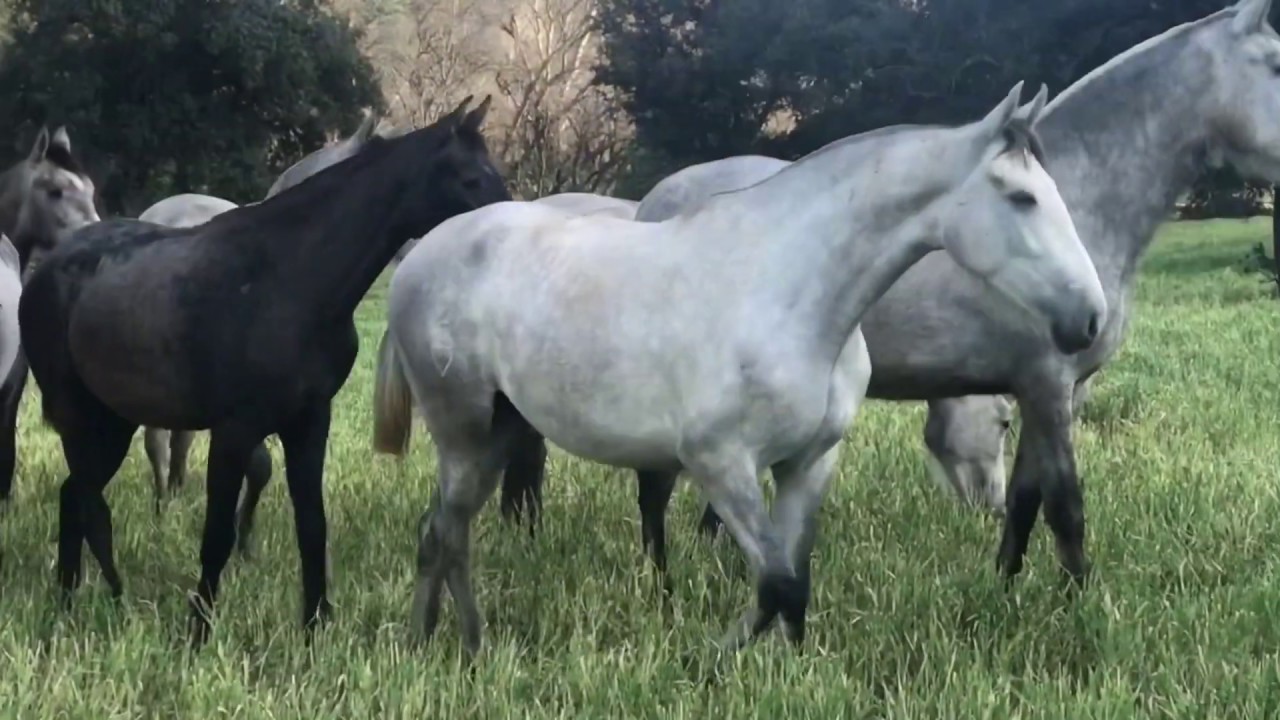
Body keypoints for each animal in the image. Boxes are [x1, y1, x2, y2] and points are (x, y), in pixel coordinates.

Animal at [18, 96, 510, 642]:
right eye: (469, 178)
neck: (288, 280)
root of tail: (45, 272)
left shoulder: (309, 422)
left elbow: (312, 524)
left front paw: (315, 625)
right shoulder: (235, 430)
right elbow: (217, 532)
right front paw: (199, 631)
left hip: (113, 420)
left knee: (76, 497)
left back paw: (80, 602)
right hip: (84, 420)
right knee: (83, 499)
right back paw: (91, 601)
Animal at [371, 83, 1108, 657]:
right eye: (1020, 198)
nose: (1089, 319)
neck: (788, 286)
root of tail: (419, 256)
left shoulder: (809, 462)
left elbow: (795, 582)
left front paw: (793, 670)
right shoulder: (720, 463)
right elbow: (777, 582)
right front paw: (708, 657)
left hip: (497, 428)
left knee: (442, 532)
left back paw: (442, 643)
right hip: (463, 430)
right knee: (447, 534)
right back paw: (453, 648)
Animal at [512, 0, 1280, 590]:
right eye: (1275, 63)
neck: (1083, 202)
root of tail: (658, 201)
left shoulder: (1044, 389)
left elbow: (1026, 499)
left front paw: (1004, 587)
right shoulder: (1047, 381)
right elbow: (1066, 506)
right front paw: (1077, 608)